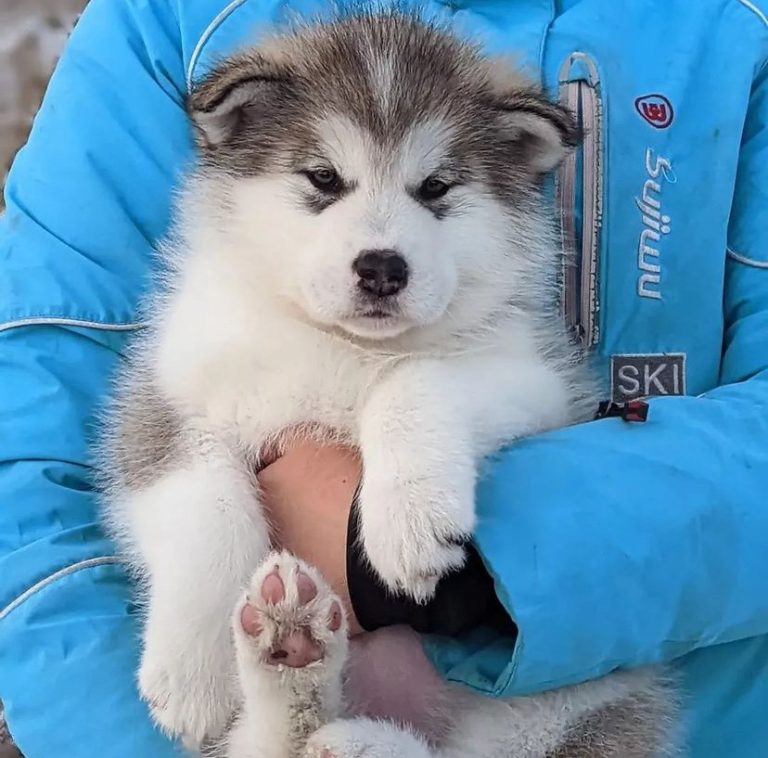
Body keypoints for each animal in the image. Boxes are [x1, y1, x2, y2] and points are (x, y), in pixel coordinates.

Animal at [100, 11, 672, 758]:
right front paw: (193, 670)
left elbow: (416, 379)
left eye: (435, 187)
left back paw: (357, 733)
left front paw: (409, 519)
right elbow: (205, 507)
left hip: (572, 696)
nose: (381, 268)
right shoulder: (170, 396)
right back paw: (291, 656)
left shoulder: (536, 378)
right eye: (323, 176)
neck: (342, 348)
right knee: (271, 744)